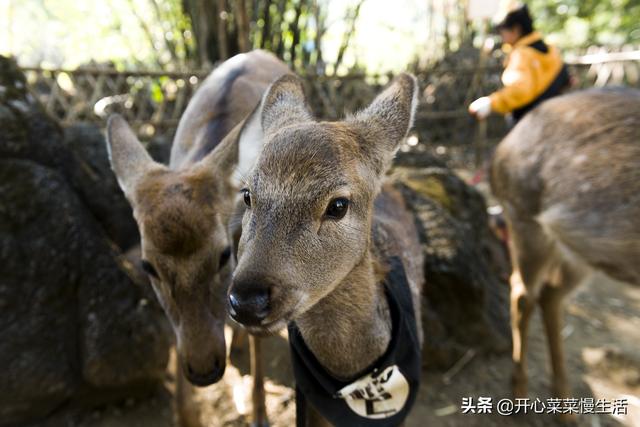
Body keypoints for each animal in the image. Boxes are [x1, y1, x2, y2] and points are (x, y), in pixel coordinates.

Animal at [490, 87, 640, 418]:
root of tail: (500, 149)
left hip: (581, 252)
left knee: (549, 294)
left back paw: (565, 407)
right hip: (525, 218)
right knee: (523, 291)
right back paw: (519, 394)